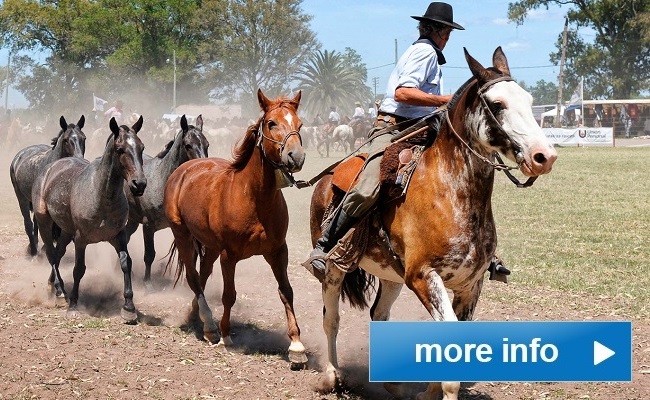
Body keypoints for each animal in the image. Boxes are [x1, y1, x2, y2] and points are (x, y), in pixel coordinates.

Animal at [9, 114, 86, 255]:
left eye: (83, 138)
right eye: (66, 140)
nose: (78, 158)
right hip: (21, 197)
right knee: (28, 223)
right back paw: (33, 250)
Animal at [32, 116, 146, 322]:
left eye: (142, 147)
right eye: (120, 149)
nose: (139, 184)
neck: (101, 196)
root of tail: (49, 169)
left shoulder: (119, 236)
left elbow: (126, 263)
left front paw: (129, 307)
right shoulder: (81, 240)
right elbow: (79, 269)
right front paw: (73, 305)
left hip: (66, 231)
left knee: (58, 253)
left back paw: (53, 285)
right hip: (44, 222)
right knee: (51, 254)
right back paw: (60, 293)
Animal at [124, 114, 208, 290]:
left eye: (207, 144)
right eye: (188, 145)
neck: (163, 182)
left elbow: (192, 255)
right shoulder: (148, 226)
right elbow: (149, 254)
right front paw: (147, 283)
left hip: (133, 221)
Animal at [161, 89, 306, 368]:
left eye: (300, 124)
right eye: (271, 123)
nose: (296, 156)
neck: (255, 198)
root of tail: (182, 170)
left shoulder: (278, 252)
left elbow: (287, 292)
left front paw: (296, 346)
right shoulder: (229, 256)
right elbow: (229, 295)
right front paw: (226, 336)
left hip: (210, 246)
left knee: (203, 275)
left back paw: (197, 315)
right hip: (182, 234)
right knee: (193, 277)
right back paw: (209, 326)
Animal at [306, 48, 556, 400]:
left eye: (529, 99)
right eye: (497, 104)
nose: (543, 156)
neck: (449, 193)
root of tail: (327, 177)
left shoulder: (469, 285)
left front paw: (428, 392)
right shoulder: (424, 277)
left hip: (392, 276)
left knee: (378, 315)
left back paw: (391, 385)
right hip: (333, 268)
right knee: (331, 319)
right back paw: (331, 376)